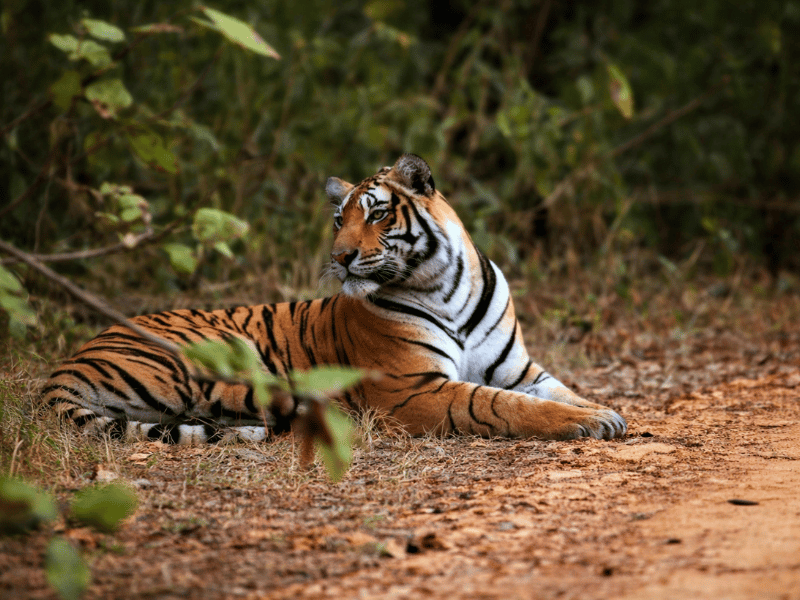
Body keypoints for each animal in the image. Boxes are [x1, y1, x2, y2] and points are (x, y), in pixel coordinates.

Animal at [44, 154, 627, 444]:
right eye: (337, 221)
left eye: (377, 214)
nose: (340, 257)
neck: (446, 286)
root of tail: (70, 360)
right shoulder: (412, 390)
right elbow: (500, 405)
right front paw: (586, 422)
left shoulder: (520, 369)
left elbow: (560, 391)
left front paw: (605, 412)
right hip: (222, 357)